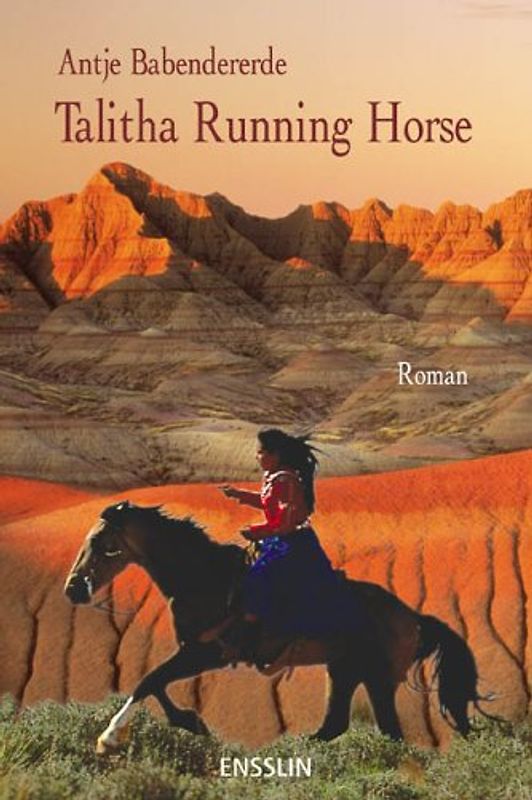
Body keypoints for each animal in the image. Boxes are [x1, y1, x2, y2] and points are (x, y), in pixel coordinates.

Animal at [64, 500, 483, 754]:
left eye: (100, 542)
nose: (73, 589)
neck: (203, 578)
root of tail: (413, 617)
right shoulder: (194, 653)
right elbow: (156, 683)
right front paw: (191, 722)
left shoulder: (206, 653)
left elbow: (148, 681)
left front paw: (109, 737)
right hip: (344, 671)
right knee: (337, 725)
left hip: (378, 678)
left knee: (389, 732)